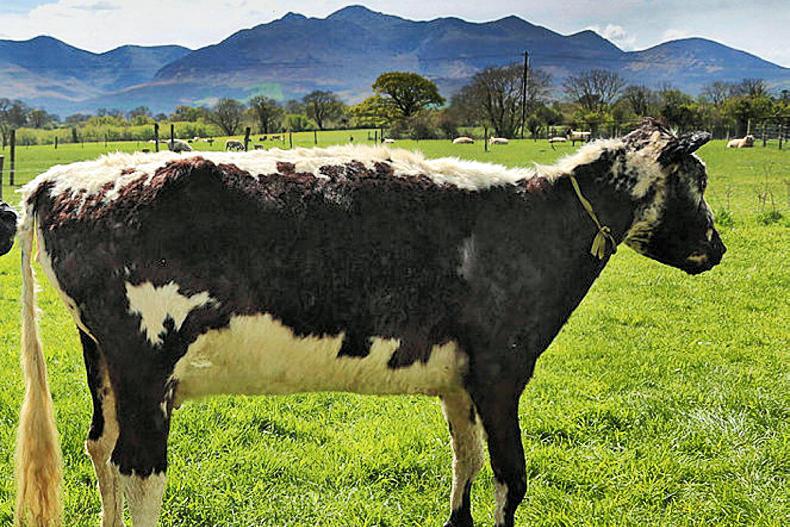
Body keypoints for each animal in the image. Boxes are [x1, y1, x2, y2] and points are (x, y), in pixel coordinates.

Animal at [11, 118, 724, 527]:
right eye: (699, 178)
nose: (716, 248)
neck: (534, 224)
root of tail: (62, 178)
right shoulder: (502, 371)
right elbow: (510, 477)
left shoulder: (460, 381)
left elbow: (465, 461)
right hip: (145, 362)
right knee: (138, 469)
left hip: (106, 363)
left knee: (100, 449)